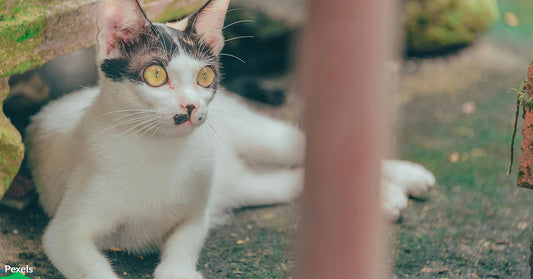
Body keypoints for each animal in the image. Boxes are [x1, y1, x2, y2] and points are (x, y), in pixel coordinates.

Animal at [23, 0, 432, 279]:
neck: (158, 151)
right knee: (295, 179)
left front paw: (178, 272)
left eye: (205, 77)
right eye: (155, 74)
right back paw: (386, 196)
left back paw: (407, 178)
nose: (190, 106)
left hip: (263, 138)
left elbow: (183, 243)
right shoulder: (65, 233)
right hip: (246, 184)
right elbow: (89, 263)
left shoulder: (195, 214)